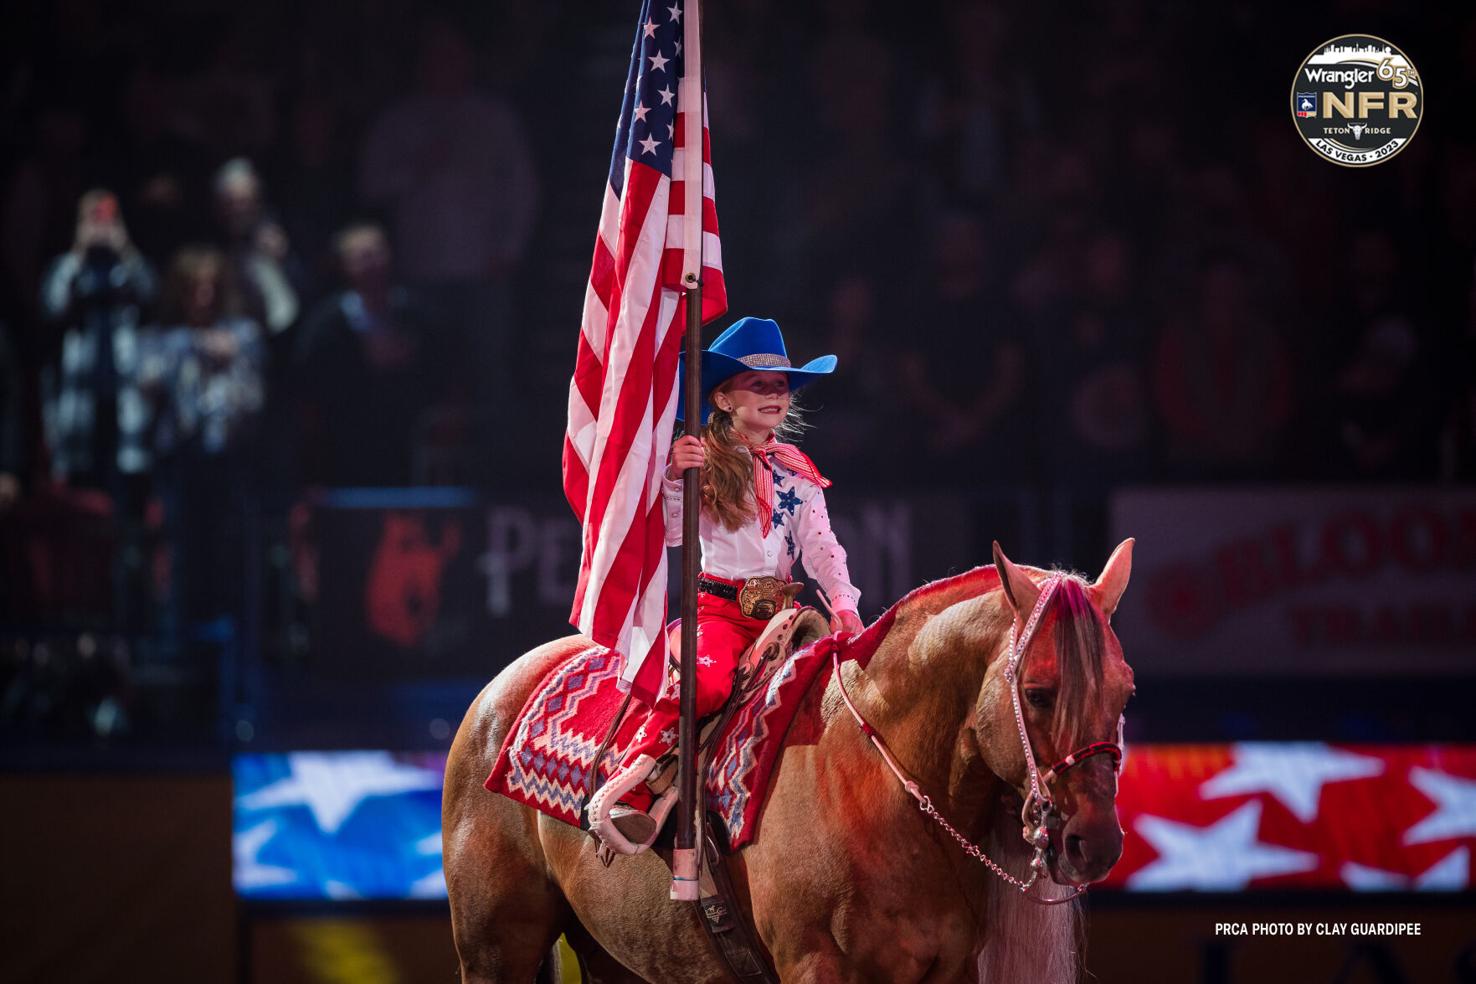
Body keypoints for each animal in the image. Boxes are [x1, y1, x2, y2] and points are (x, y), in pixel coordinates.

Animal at [442, 542, 1133, 979]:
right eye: (1038, 692)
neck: (876, 784)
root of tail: (494, 697)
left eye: (1125, 693)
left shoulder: (953, 967)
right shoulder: (815, 965)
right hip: (494, 950)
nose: (1094, 843)